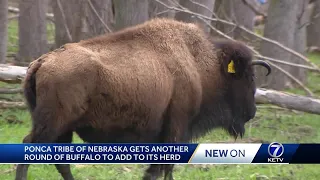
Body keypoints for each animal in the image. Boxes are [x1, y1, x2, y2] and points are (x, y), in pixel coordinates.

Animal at [15, 18, 270, 180]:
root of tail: (42, 62)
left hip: (62, 129)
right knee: (30, 147)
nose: (252, 112)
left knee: (61, 161)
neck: (201, 65)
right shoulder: (176, 128)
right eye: (248, 77)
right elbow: (163, 169)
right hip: (53, 124)